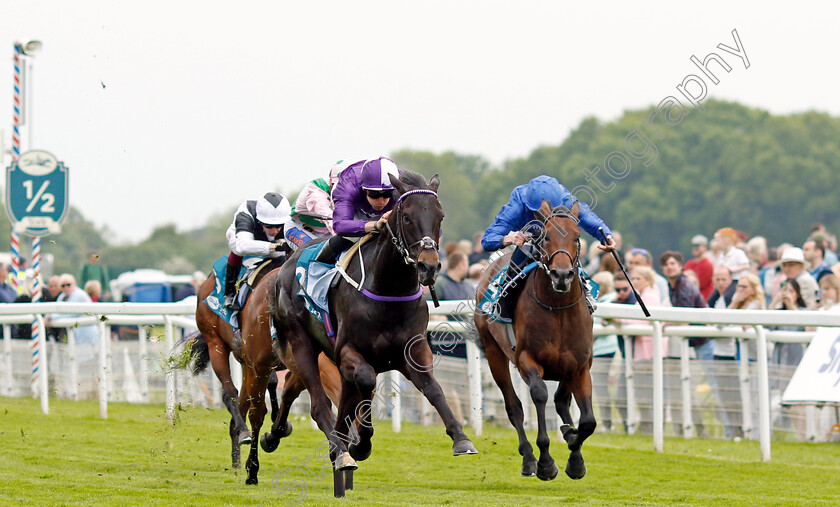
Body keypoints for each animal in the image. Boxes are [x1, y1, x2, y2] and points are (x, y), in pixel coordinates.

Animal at [183, 264, 342, 470]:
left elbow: (286, 390)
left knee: (243, 400)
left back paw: (237, 454)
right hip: (215, 343)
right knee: (229, 392)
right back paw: (243, 432)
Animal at [253, 171, 476, 496]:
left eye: (440, 216)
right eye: (406, 217)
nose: (429, 266)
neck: (388, 291)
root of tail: (284, 268)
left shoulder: (413, 351)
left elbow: (433, 388)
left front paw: (461, 438)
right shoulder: (350, 353)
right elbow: (367, 382)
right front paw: (361, 445)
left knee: (311, 396)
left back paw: (303, 441)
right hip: (302, 344)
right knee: (319, 405)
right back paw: (339, 451)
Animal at [472, 200, 596, 482]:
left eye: (577, 236)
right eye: (546, 236)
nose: (561, 275)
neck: (559, 309)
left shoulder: (580, 366)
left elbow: (588, 421)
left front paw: (575, 456)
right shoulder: (526, 360)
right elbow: (539, 395)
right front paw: (546, 463)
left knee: (561, 400)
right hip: (494, 352)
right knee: (514, 406)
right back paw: (529, 458)